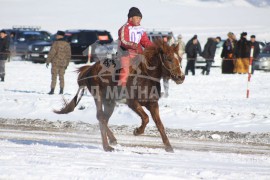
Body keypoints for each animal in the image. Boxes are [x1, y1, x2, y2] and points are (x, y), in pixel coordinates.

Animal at [54, 40, 186, 153]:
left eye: (179, 59)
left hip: (109, 102)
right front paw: (137, 131)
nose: (181, 77)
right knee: (100, 116)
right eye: (169, 59)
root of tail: (89, 69)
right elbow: (146, 118)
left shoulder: (153, 103)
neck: (145, 77)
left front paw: (169, 146)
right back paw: (107, 146)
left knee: (104, 119)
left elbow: (159, 124)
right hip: (98, 95)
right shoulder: (132, 102)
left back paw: (112, 140)